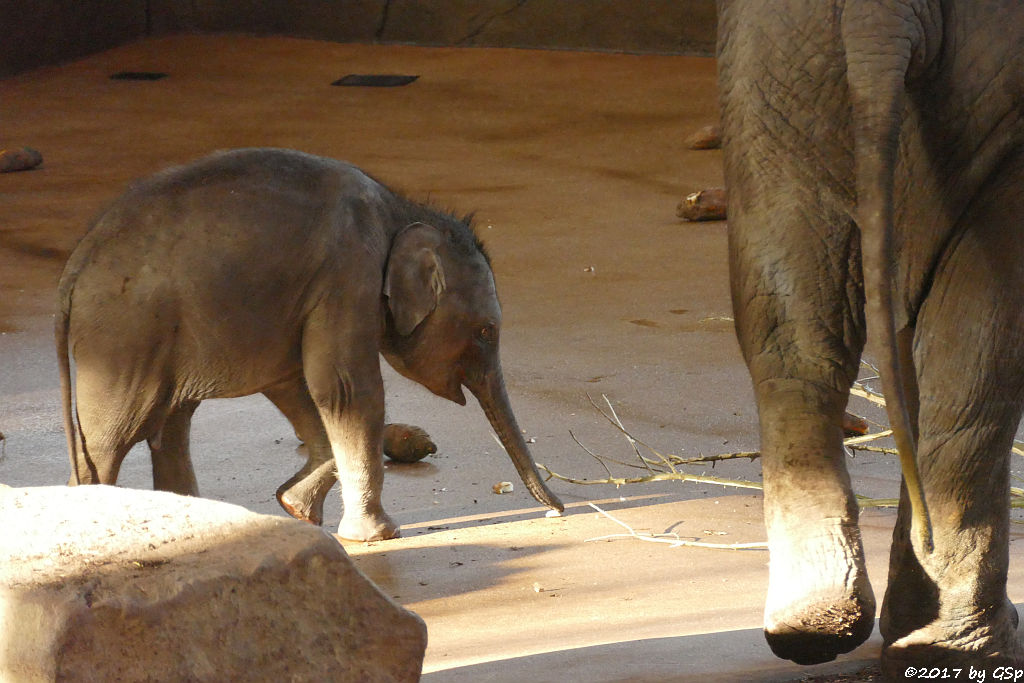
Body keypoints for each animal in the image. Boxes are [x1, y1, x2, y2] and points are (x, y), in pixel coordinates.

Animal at [56, 148, 565, 540]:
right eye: (486, 332)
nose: (558, 510)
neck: (399, 211)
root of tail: (75, 264)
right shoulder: (347, 272)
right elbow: (344, 388)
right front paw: (378, 536)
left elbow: (298, 385)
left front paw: (294, 506)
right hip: (123, 340)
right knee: (109, 440)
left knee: (172, 426)